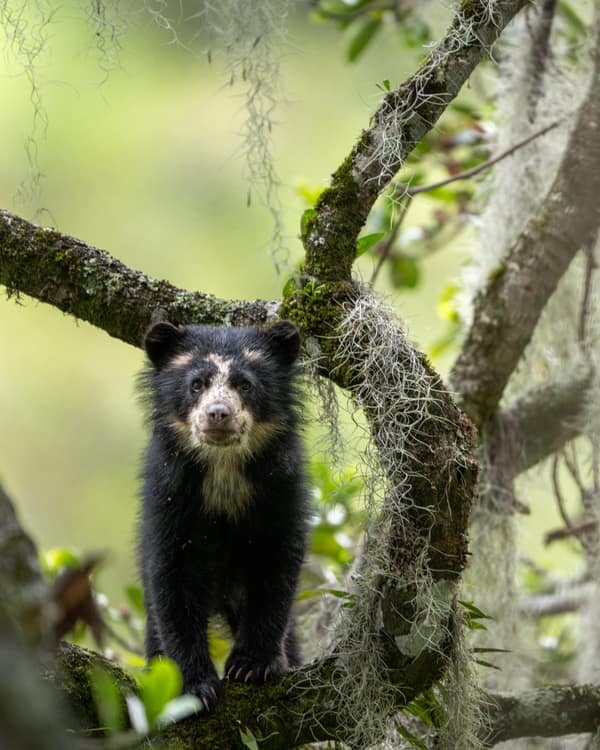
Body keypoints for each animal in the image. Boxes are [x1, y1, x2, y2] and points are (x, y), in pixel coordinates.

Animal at [138, 319, 309, 711]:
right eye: (196, 384)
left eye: (245, 384)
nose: (218, 413)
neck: (223, 468)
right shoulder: (168, 495)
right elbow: (172, 579)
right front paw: (194, 687)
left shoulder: (281, 487)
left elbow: (277, 569)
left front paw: (253, 666)